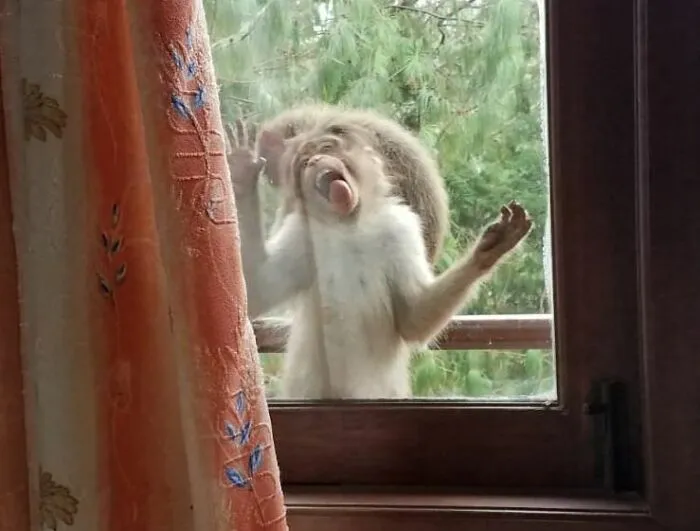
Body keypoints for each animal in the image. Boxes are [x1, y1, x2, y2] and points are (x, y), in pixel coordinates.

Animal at [227, 121, 533, 400]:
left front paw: (489, 251)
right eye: (304, 163)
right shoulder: (302, 234)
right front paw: (241, 175)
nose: (314, 160)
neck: (350, 224)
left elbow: (412, 318)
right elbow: (258, 290)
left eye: (326, 148)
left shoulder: (401, 229)